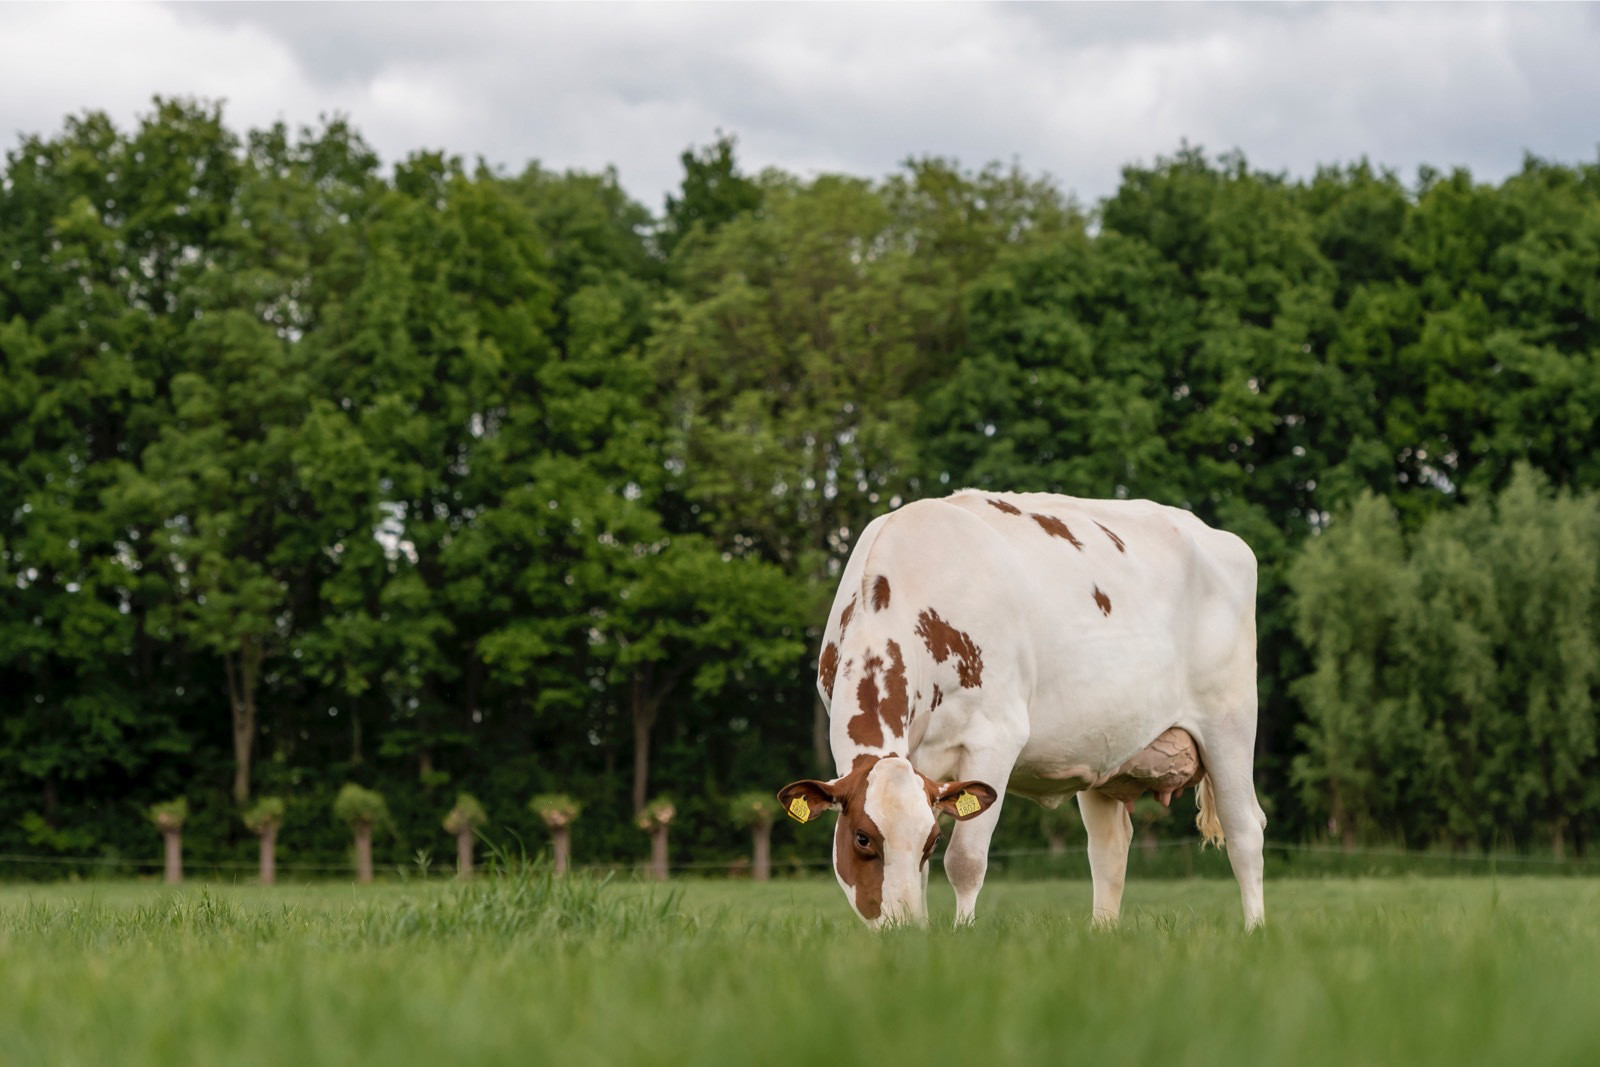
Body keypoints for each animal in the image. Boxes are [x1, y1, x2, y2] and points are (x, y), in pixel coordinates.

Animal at [780, 489, 1267, 927]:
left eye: (932, 840)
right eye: (862, 838)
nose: (902, 927)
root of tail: (1216, 534)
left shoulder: (995, 737)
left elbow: (966, 860)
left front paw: (960, 937)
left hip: (1230, 722)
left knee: (1245, 831)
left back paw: (1255, 931)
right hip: (1104, 745)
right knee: (1109, 848)